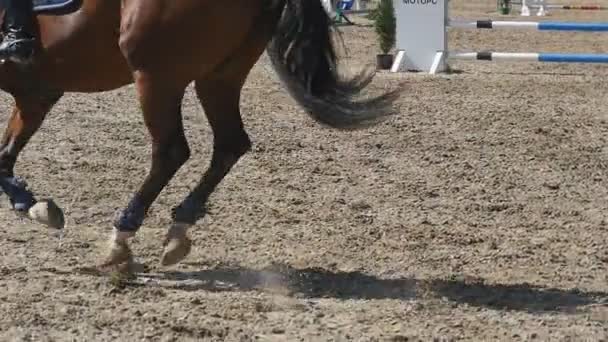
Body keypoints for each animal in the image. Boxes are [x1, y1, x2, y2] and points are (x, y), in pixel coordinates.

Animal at [0, 0, 400, 268]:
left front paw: (32, 203)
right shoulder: (36, 93)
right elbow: (5, 155)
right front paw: (31, 203)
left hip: (156, 76)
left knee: (171, 152)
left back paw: (123, 234)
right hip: (218, 77)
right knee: (229, 144)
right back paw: (179, 226)